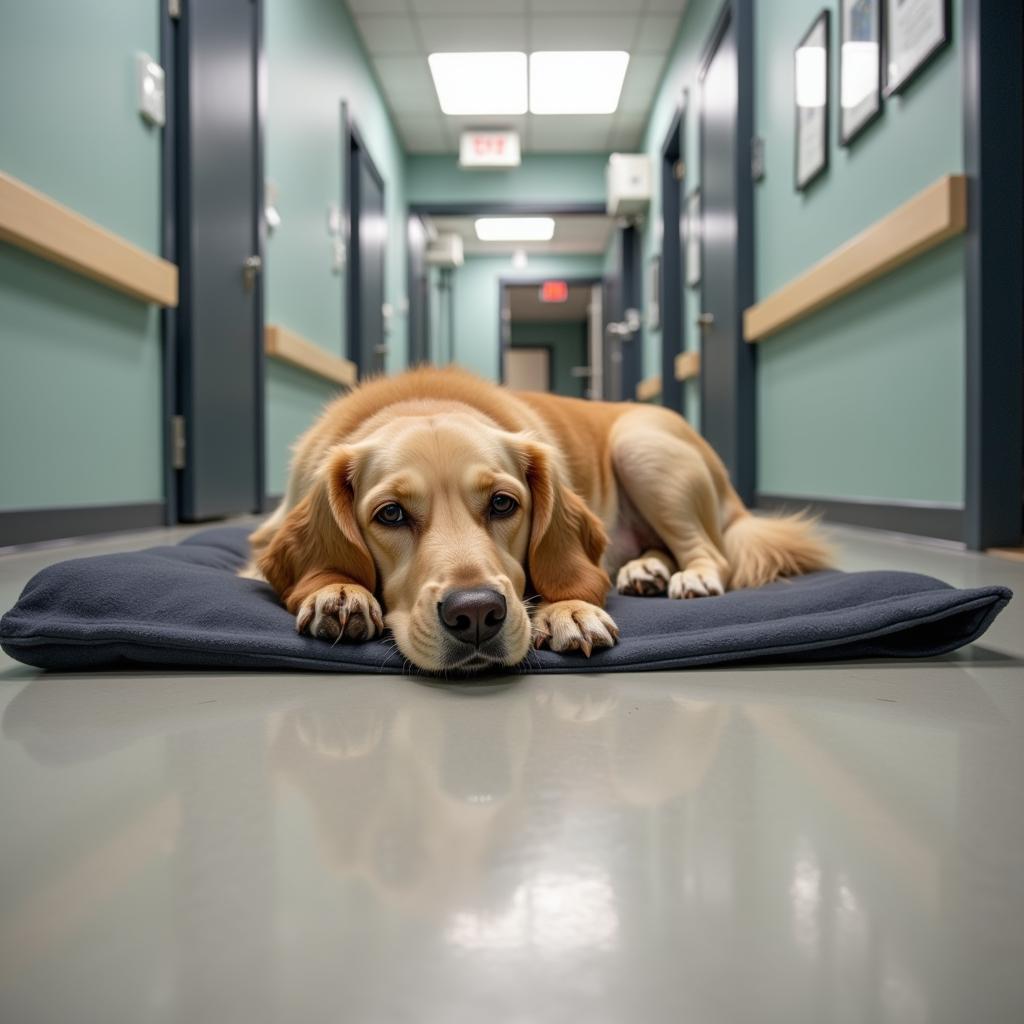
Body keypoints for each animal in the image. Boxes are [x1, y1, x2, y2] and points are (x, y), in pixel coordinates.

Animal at [247, 368, 831, 671]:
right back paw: (645, 569)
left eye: (504, 503)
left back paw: (691, 577)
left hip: (641, 445)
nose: (475, 613)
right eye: (390, 514)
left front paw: (568, 607)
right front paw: (338, 588)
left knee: (712, 553)